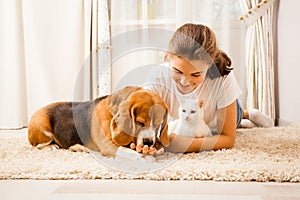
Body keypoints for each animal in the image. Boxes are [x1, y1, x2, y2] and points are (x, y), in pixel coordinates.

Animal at [27, 86, 170, 162]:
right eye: (140, 122)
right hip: (42, 128)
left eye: (158, 124)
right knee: (36, 146)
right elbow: (129, 152)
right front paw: (146, 158)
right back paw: (51, 147)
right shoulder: (108, 146)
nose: (148, 143)